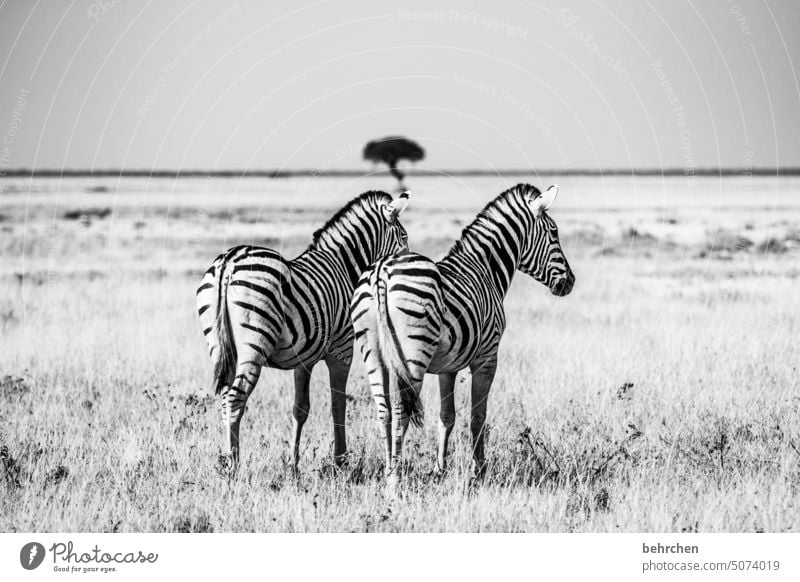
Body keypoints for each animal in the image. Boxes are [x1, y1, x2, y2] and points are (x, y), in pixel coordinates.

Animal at [198, 192, 412, 474]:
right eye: (404, 237)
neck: (345, 266)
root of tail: (229, 262)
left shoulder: (304, 357)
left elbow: (300, 408)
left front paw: (293, 464)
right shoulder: (343, 349)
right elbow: (338, 403)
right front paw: (340, 460)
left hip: (219, 346)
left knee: (225, 398)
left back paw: (225, 460)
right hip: (254, 343)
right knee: (234, 400)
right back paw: (234, 466)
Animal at [354, 185, 572, 490]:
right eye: (553, 232)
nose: (570, 283)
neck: (486, 270)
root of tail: (380, 272)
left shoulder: (448, 366)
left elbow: (447, 417)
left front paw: (439, 470)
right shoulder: (487, 357)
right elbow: (478, 416)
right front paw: (479, 471)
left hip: (373, 352)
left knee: (384, 411)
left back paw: (388, 471)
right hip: (412, 355)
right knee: (400, 412)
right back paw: (395, 481)